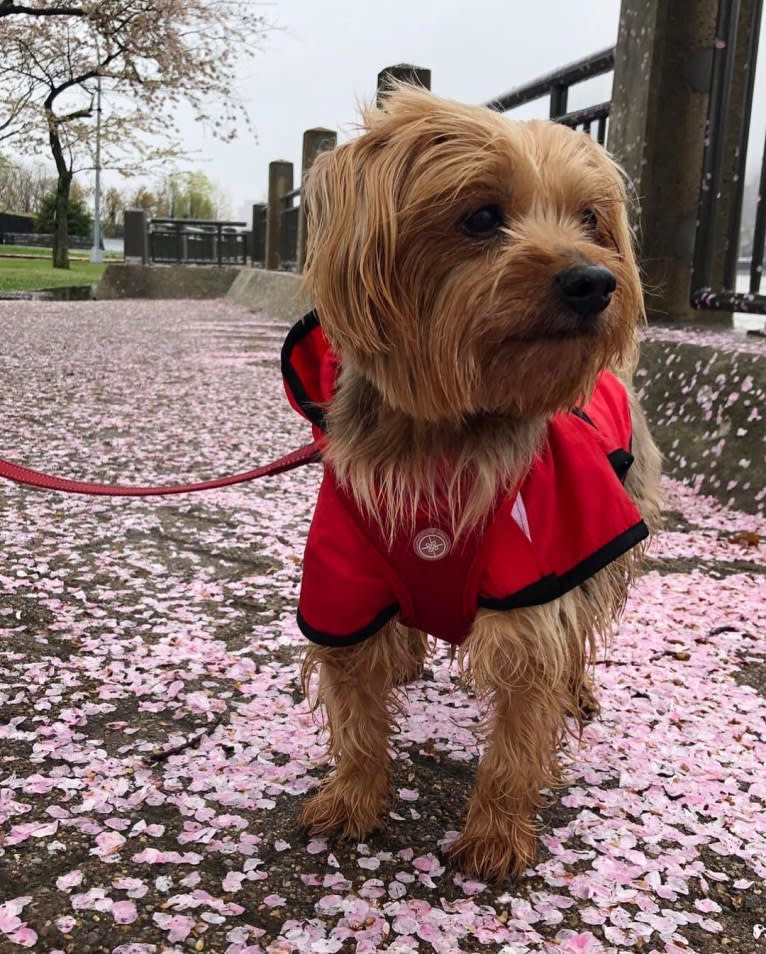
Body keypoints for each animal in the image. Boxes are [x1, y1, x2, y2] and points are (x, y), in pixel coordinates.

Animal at [280, 83, 664, 876]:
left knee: (582, 629)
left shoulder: (535, 577)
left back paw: (578, 693)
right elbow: (356, 704)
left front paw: (495, 835)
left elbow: (521, 725)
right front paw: (353, 797)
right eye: (482, 218)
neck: (443, 435)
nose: (596, 280)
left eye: (592, 220)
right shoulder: (343, 582)